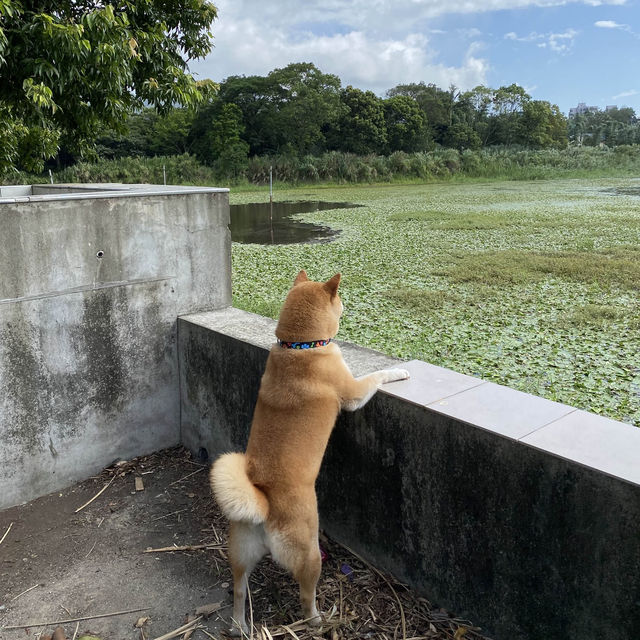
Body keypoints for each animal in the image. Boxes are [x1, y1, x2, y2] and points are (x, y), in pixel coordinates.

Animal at [210, 270, 410, 636]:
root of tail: (264, 501)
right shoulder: (353, 392)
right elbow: (376, 376)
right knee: (306, 598)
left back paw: (238, 626)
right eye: (340, 299)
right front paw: (398, 371)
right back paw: (320, 620)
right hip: (309, 553)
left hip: (240, 552)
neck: (299, 347)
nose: (347, 305)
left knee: (239, 591)